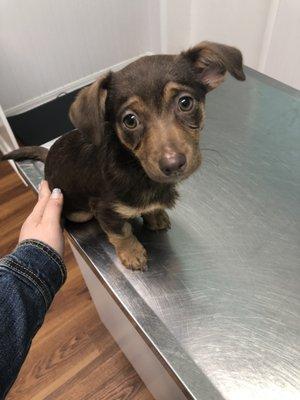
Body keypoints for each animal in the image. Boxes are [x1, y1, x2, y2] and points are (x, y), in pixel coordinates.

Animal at [2, 40, 245, 270]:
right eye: (130, 120)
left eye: (185, 102)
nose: (173, 165)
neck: (136, 168)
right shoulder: (105, 210)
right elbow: (122, 233)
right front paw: (132, 254)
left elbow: (150, 209)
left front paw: (155, 215)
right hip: (80, 212)